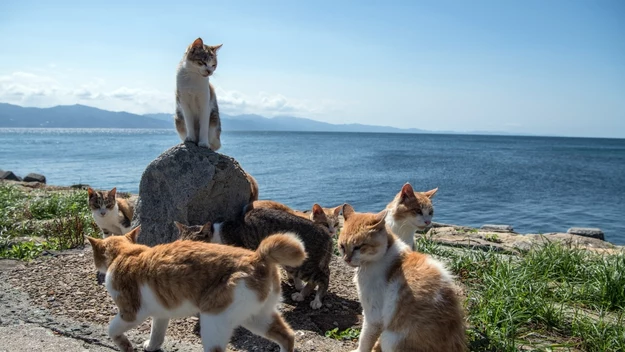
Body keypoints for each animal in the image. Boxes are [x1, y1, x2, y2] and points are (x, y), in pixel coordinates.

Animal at [86, 226, 304, 352]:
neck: (125, 253)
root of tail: (258, 257)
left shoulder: (131, 313)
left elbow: (112, 329)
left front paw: (125, 345)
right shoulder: (161, 313)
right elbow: (157, 332)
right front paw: (152, 346)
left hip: (214, 319)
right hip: (257, 316)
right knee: (287, 336)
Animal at [336, 204, 464, 352]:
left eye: (358, 247)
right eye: (342, 246)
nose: (347, 259)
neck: (386, 252)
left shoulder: (373, 316)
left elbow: (365, 339)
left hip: (390, 338)